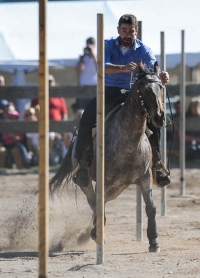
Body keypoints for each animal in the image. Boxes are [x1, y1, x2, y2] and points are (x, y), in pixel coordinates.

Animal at [49, 60, 165, 252]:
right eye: (143, 88)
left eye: (161, 87)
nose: (159, 117)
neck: (129, 142)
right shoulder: (104, 181)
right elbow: (99, 206)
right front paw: (97, 233)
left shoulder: (145, 177)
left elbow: (151, 207)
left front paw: (154, 241)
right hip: (89, 182)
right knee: (94, 202)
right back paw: (93, 232)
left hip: (119, 186)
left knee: (99, 204)